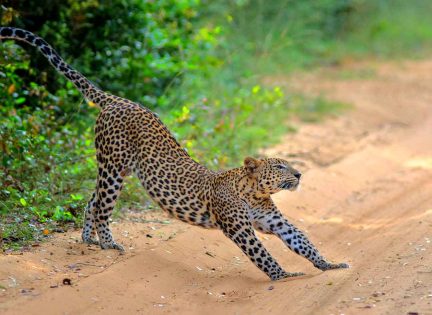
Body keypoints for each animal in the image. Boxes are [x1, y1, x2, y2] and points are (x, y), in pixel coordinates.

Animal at [0, 25, 352, 280]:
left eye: (289, 165)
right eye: (280, 166)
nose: (299, 174)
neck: (253, 193)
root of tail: (117, 99)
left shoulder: (277, 223)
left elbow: (302, 241)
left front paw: (329, 265)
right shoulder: (239, 227)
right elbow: (261, 254)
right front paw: (284, 275)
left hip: (114, 167)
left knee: (92, 200)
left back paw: (89, 240)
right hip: (113, 166)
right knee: (102, 205)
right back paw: (108, 243)